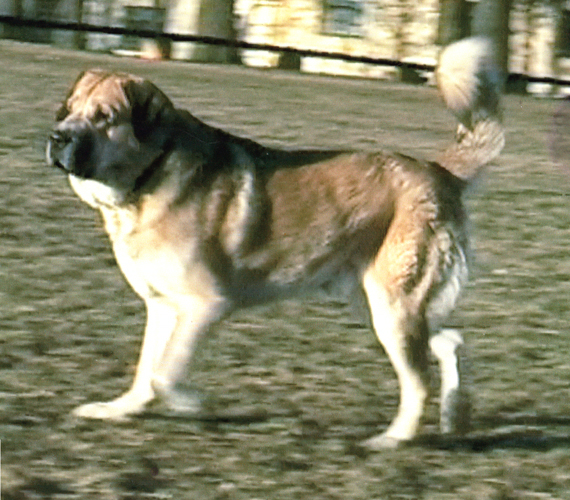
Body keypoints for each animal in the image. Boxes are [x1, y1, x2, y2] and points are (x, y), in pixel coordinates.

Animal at [47, 37, 502, 448]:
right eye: (70, 110)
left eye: (105, 117)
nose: (57, 138)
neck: (148, 177)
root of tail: (439, 170)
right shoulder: (161, 306)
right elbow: (146, 372)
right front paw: (119, 409)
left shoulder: (207, 303)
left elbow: (164, 374)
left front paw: (192, 404)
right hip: (377, 304)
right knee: (450, 342)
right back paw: (455, 417)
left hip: (392, 308)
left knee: (420, 378)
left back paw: (393, 440)